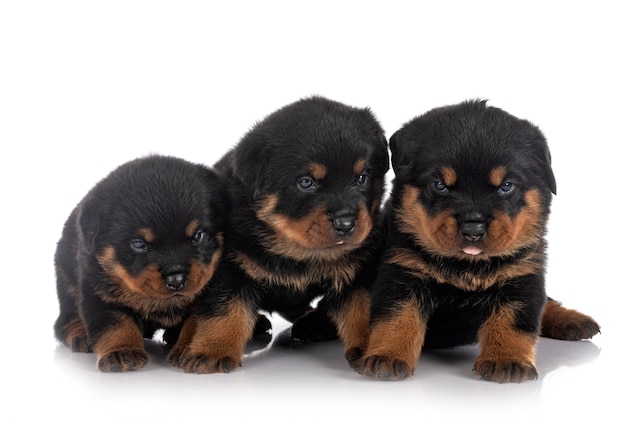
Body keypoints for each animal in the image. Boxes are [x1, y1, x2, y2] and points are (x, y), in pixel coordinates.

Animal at [54, 155, 227, 372]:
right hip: (65, 275)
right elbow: (116, 323)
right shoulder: (99, 292)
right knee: (65, 319)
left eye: (198, 235)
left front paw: (188, 347)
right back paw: (80, 333)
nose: (176, 279)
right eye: (138, 244)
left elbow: (195, 323)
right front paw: (122, 351)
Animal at [168, 96, 388, 374]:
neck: (296, 251)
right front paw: (213, 351)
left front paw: (373, 348)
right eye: (306, 182)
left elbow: (360, 310)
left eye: (362, 177)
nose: (346, 222)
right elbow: (225, 310)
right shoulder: (228, 267)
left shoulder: (358, 270)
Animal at [352, 100, 600, 384]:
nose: (473, 227)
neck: (467, 265)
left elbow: (514, 321)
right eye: (439, 185)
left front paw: (507, 360)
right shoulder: (403, 272)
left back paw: (571, 319)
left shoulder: (521, 277)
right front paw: (386, 356)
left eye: (506, 186)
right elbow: (396, 318)